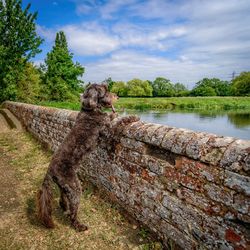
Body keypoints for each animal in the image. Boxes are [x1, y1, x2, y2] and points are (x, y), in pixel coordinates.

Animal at [36, 83, 139, 230]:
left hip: (64, 187)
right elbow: (119, 122)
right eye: (105, 91)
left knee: (62, 199)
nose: (117, 96)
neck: (91, 110)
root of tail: (50, 170)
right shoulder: (108, 133)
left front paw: (115, 113)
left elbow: (112, 116)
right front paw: (132, 117)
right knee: (73, 212)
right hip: (74, 187)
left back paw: (64, 208)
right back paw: (79, 226)